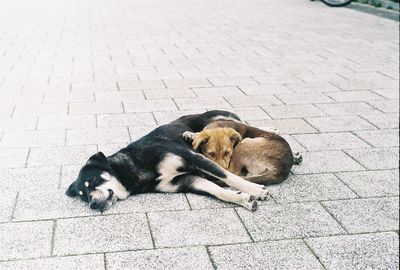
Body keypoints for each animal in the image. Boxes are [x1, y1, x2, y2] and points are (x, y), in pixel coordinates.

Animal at [66, 109, 268, 211]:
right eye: (83, 196)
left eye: (94, 180)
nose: (92, 204)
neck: (135, 166)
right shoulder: (187, 181)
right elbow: (219, 191)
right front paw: (243, 199)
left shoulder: (194, 158)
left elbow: (228, 177)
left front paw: (256, 189)